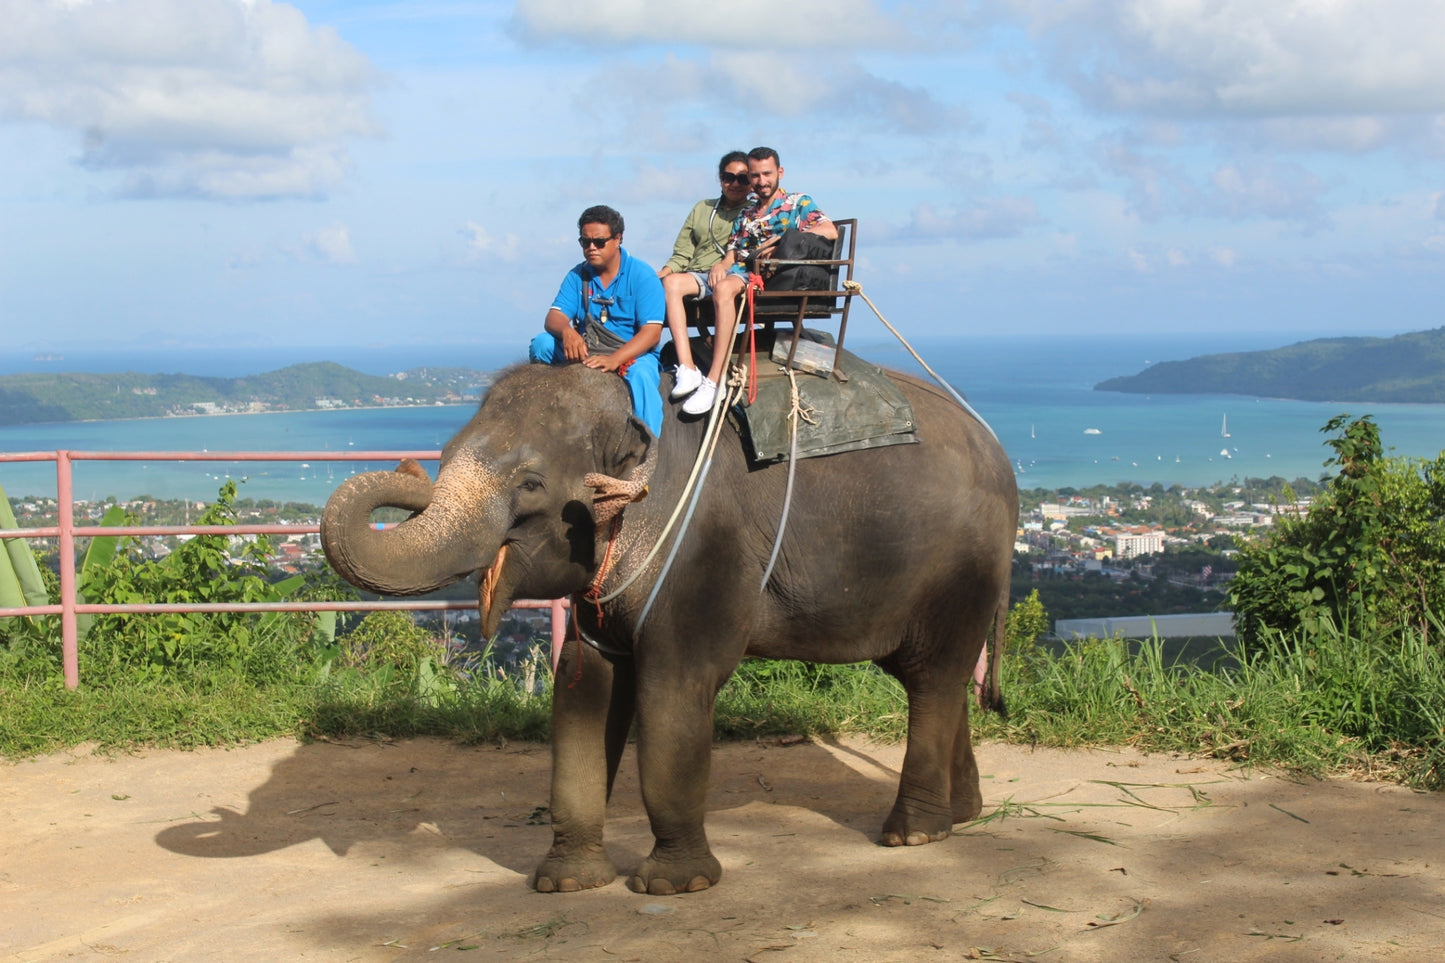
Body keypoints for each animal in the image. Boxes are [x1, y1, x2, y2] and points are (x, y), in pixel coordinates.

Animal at [319, 360, 1017, 890]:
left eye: (532, 484)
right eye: (443, 455)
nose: (410, 472)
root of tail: (1001, 457)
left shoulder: (703, 551)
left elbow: (674, 689)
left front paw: (675, 885)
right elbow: (582, 690)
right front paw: (567, 882)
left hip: (962, 570)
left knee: (931, 677)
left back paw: (912, 834)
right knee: (936, 678)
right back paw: (963, 814)